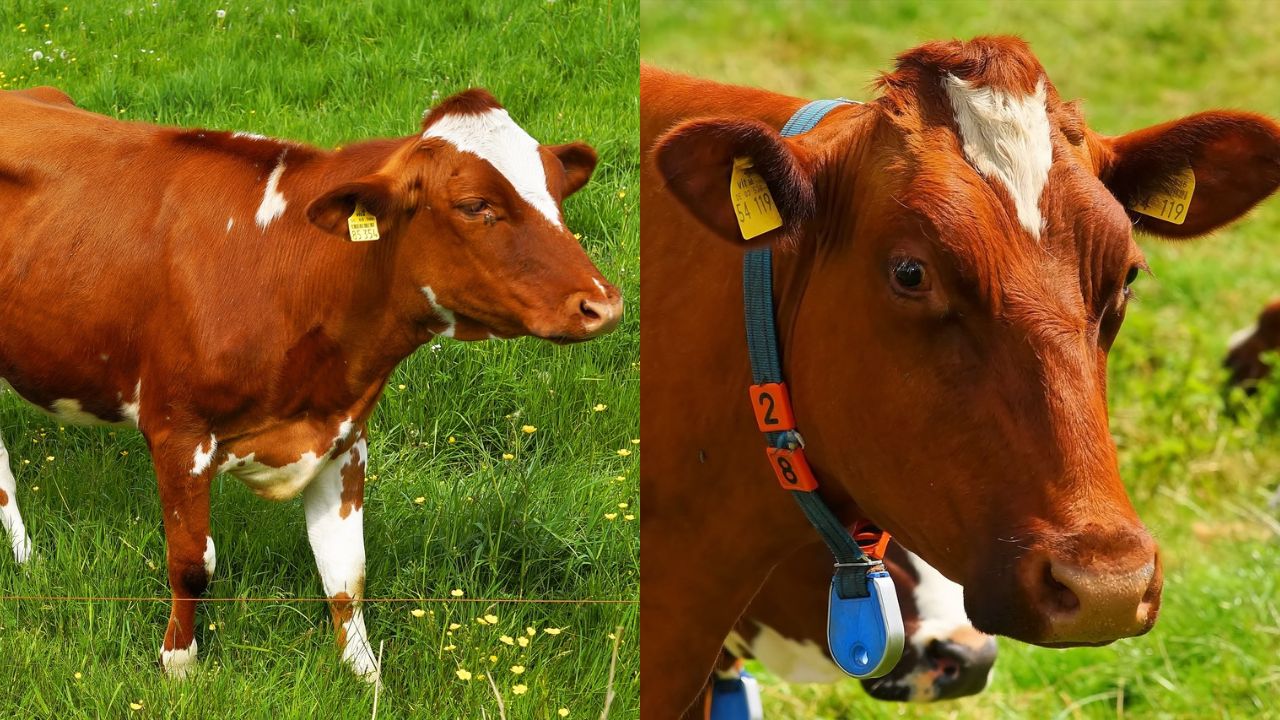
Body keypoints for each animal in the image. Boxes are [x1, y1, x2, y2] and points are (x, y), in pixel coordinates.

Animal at [0, 85, 624, 676]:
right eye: (475, 205)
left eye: (558, 193)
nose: (604, 304)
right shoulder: (177, 430)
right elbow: (192, 563)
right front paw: (179, 668)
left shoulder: (344, 434)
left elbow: (347, 572)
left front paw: (365, 678)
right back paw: (23, 554)